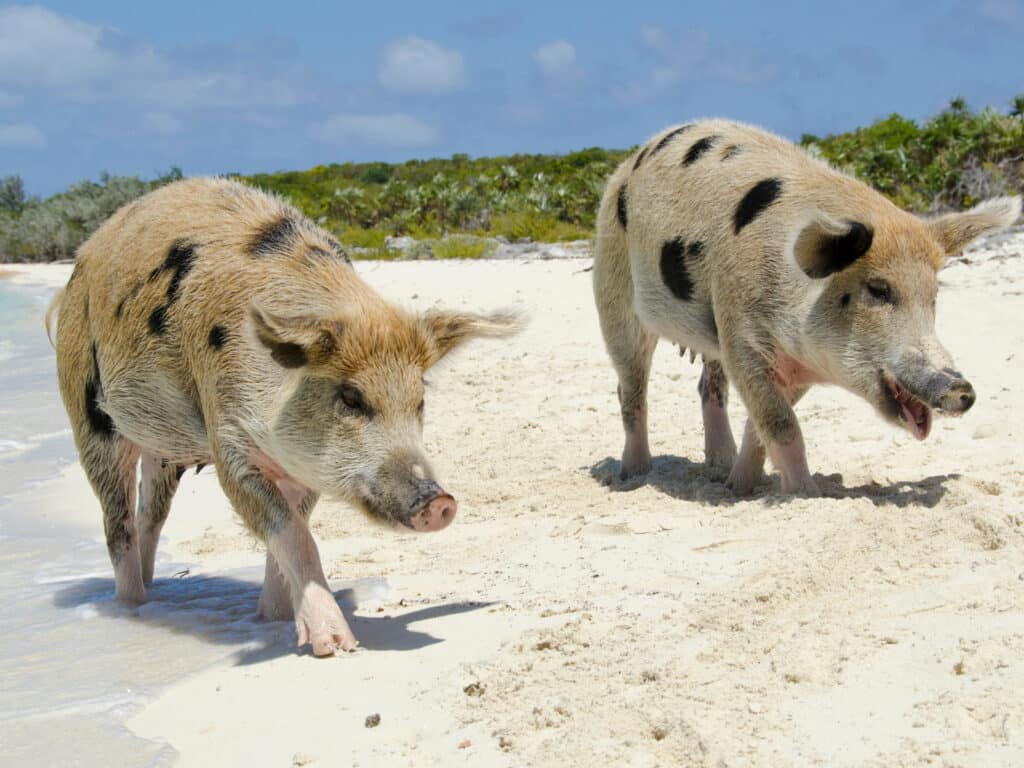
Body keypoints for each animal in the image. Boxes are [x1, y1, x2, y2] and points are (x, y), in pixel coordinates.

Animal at [46, 179, 520, 655]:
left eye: (419, 400)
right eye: (351, 397)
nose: (438, 502)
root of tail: (81, 260)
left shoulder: (301, 467)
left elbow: (293, 531)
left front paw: (270, 620)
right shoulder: (228, 440)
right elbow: (291, 533)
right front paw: (336, 646)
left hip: (165, 449)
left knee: (151, 514)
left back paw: (153, 595)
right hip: (87, 414)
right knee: (116, 522)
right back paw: (131, 607)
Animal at [589, 117, 1019, 495]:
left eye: (933, 297)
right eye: (878, 289)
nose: (962, 390)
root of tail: (627, 164)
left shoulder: (787, 362)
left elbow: (760, 427)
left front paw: (739, 489)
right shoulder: (742, 336)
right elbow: (782, 424)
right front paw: (807, 494)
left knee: (708, 386)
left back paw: (718, 469)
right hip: (612, 287)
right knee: (629, 388)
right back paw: (633, 475)